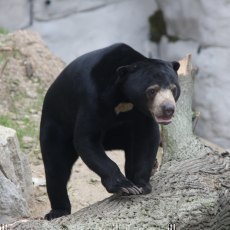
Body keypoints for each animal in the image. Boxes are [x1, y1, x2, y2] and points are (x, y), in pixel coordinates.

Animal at [40, 43, 180, 219]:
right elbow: (86, 139)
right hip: (55, 123)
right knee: (56, 165)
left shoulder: (142, 114)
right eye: (152, 90)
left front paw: (141, 185)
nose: (168, 109)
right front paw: (125, 186)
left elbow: (147, 139)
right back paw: (58, 211)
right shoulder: (92, 98)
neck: (124, 98)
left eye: (174, 89)